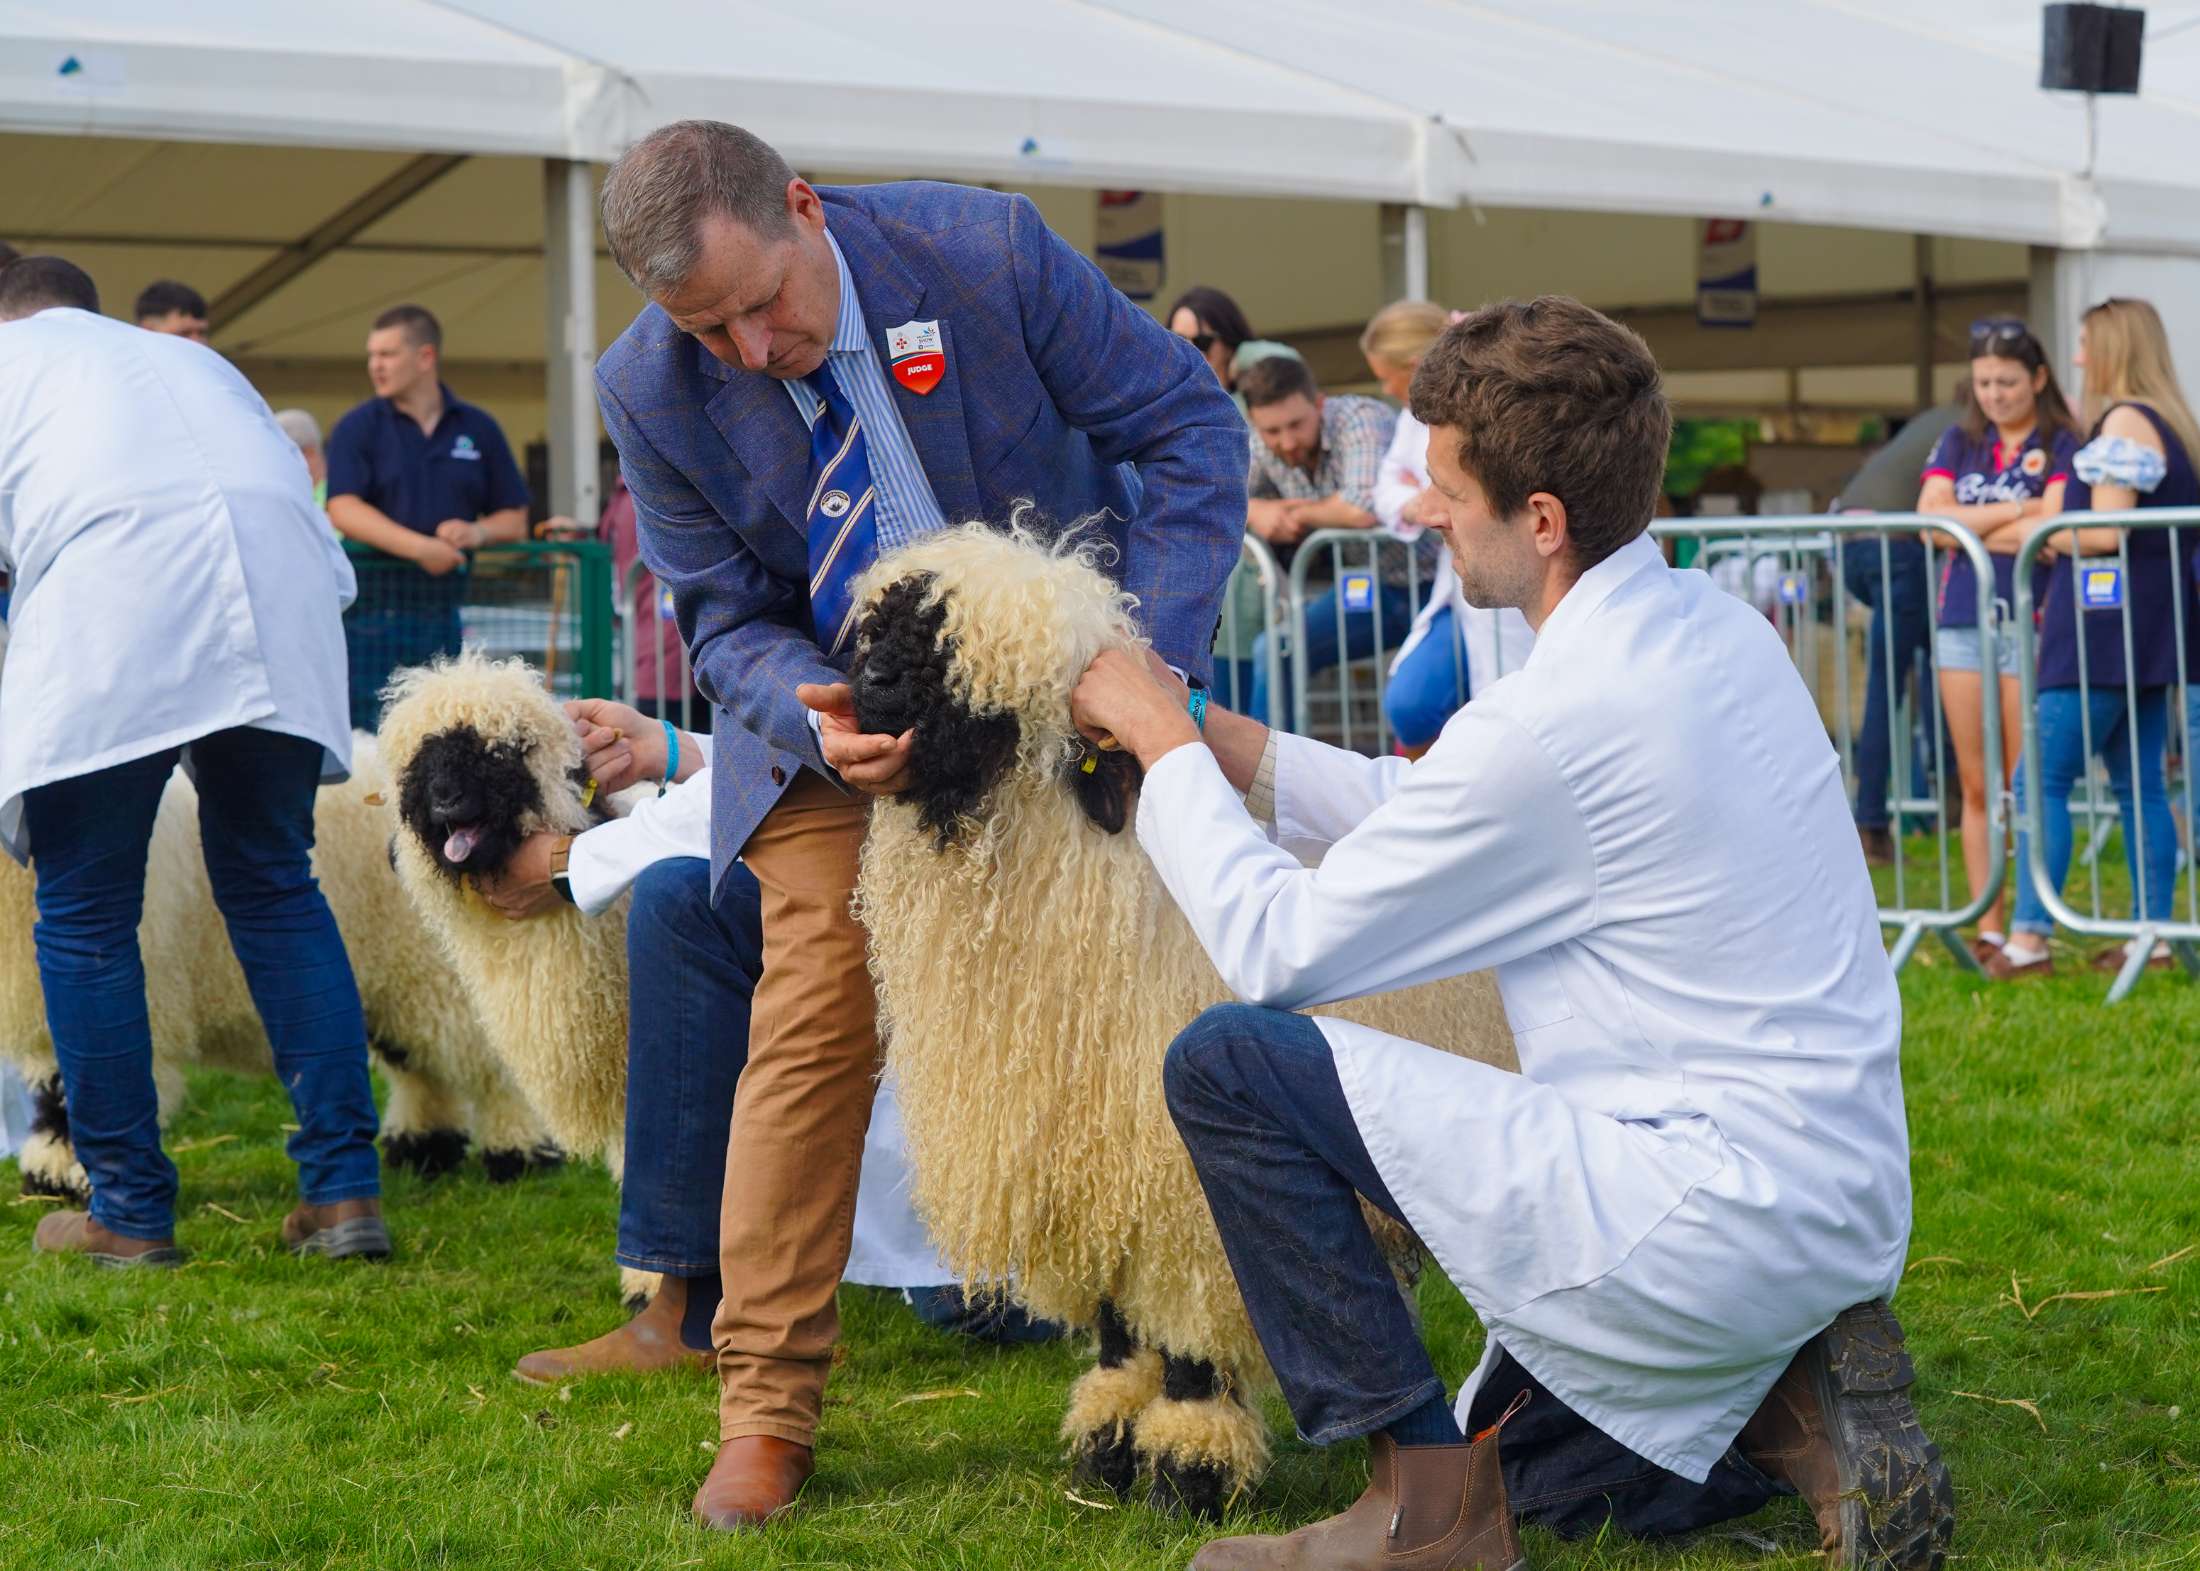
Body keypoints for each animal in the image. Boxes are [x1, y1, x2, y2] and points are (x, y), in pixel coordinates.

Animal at [849, 523, 1522, 1504]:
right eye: (880, 625)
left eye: (985, 680)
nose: (871, 686)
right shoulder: (1097, 1159)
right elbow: (1118, 1318)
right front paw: (1109, 1434)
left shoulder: (1179, 1180)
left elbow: (1194, 1330)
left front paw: (1188, 1457)